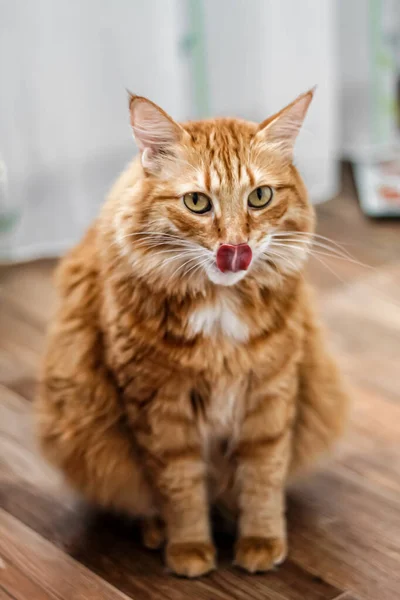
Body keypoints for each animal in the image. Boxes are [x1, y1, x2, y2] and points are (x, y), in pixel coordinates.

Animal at [37, 89, 350, 576]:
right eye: (198, 203)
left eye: (260, 197)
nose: (236, 247)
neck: (220, 311)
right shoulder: (159, 408)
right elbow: (179, 487)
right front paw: (188, 548)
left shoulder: (271, 394)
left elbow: (263, 477)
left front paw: (261, 540)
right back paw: (156, 530)